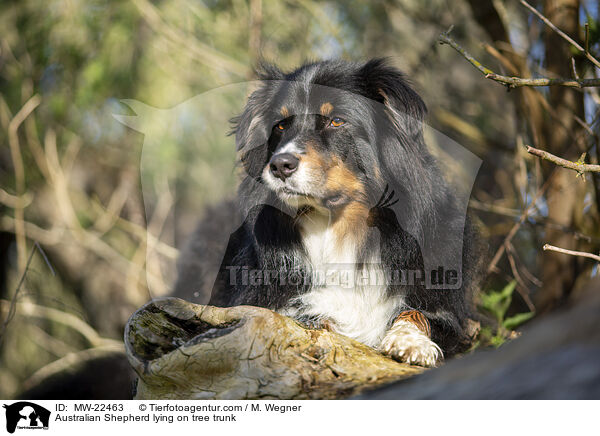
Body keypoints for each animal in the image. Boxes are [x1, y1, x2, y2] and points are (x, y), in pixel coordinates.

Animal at [172, 57, 478, 364]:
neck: (335, 226)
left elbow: (420, 313)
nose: (280, 165)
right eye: (280, 126)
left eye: (336, 121)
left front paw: (411, 343)